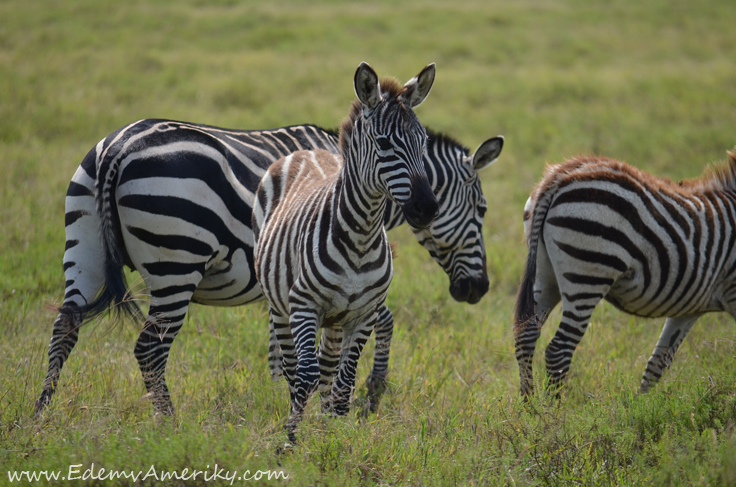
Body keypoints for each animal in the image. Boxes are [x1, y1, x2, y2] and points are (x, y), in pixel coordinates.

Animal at [36, 83, 506, 420]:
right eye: (483, 209)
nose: (478, 290)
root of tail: (119, 147)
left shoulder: (287, 277)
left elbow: (287, 350)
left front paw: (292, 394)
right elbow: (381, 322)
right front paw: (369, 394)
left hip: (84, 244)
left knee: (65, 326)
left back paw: (42, 416)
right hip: (177, 261)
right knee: (150, 348)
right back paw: (168, 423)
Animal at [253, 61, 436, 442]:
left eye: (424, 142)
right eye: (384, 143)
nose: (427, 208)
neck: (362, 237)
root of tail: (306, 150)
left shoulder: (364, 313)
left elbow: (344, 382)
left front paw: (336, 439)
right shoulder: (304, 305)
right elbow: (304, 377)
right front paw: (289, 442)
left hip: (335, 319)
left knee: (327, 370)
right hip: (280, 307)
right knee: (295, 369)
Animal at [516, 150, 736, 400]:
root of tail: (559, 177)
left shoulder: (689, 308)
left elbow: (658, 363)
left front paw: (643, 405)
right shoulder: (730, 292)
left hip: (545, 275)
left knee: (526, 335)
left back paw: (529, 406)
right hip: (588, 275)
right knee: (558, 349)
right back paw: (553, 410)